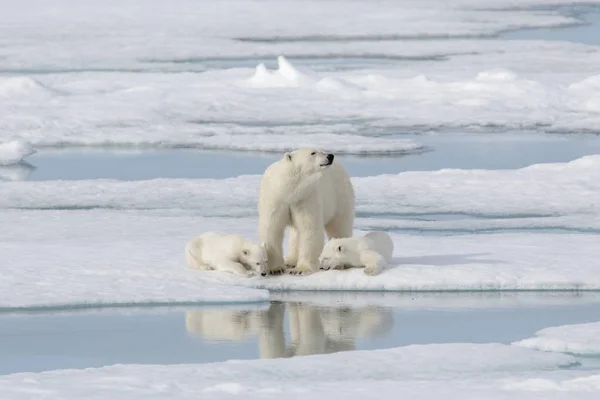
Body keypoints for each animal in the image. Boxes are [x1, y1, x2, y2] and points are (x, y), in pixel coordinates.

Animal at [258, 147, 354, 276]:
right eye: (313, 153)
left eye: (320, 150)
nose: (330, 156)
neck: (290, 191)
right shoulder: (275, 199)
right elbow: (272, 229)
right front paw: (276, 269)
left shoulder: (306, 197)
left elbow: (309, 229)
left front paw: (300, 269)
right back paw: (291, 261)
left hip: (340, 196)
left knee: (339, 227)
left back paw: (339, 262)